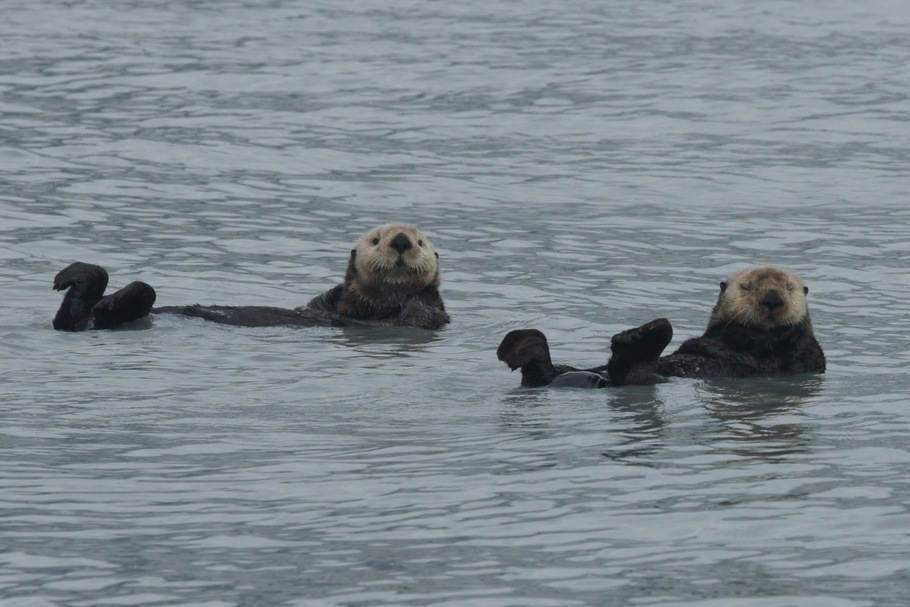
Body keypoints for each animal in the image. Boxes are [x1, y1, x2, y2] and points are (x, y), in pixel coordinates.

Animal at [52, 223, 450, 331]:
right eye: (375, 239)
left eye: (420, 242)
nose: (401, 241)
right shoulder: (324, 305)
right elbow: (321, 300)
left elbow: (422, 311)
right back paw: (76, 276)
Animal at [498, 267, 826, 388]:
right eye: (747, 286)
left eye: (788, 288)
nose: (773, 299)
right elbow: (706, 340)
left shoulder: (804, 355)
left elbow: (797, 351)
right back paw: (518, 346)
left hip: (643, 376)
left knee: (629, 369)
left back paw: (639, 336)